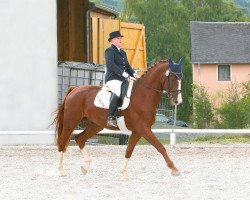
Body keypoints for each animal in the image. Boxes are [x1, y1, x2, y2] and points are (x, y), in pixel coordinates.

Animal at [53, 57, 185, 177]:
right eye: (173, 78)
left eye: (181, 78)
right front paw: (174, 169)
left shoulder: (138, 131)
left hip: (95, 125)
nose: (178, 101)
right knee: (62, 142)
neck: (144, 95)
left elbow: (129, 150)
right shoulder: (143, 128)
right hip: (71, 122)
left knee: (79, 139)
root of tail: (74, 89)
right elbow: (160, 147)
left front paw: (123, 171)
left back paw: (85, 167)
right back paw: (61, 171)